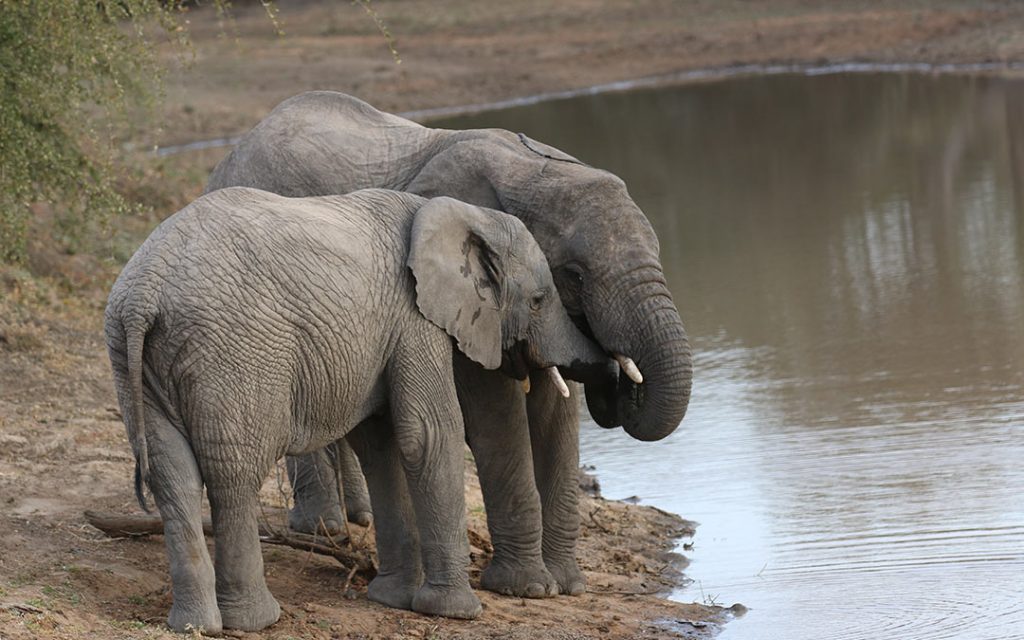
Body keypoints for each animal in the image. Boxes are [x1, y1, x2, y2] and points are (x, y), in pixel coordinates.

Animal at [103, 187, 602, 630]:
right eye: (538, 300)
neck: (461, 212)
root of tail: (144, 293)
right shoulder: (413, 318)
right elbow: (428, 434)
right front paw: (456, 613)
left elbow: (380, 443)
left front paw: (392, 599)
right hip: (233, 353)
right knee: (234, 476)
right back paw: (256, 621)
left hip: (134, 360)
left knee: (173, 476)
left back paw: (195, 625)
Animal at [203, 91, 692, 598]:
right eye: (574, 274)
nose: (618, 378)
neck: (533, 170)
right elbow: (498, 414)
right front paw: (527, 589)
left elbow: (556, 417)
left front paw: (568, 585)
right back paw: (324, 530)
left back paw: (358, 519)